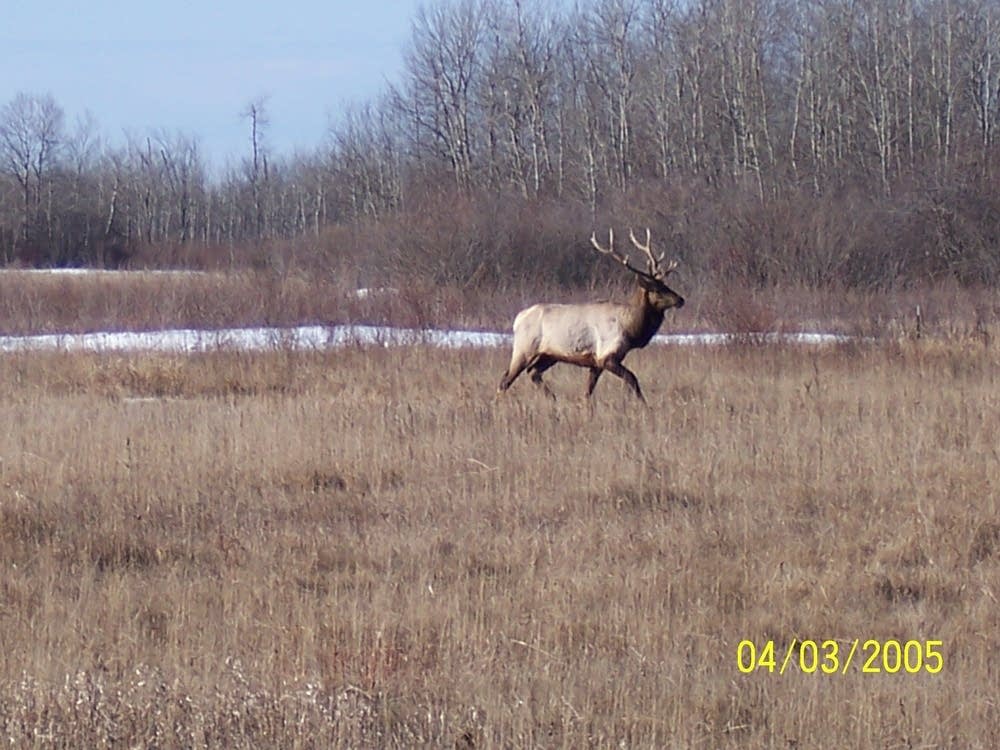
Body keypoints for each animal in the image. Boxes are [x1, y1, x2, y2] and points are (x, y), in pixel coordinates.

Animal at [496, 228, 684, 402]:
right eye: (657, 289)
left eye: (666, 285)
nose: (680, 299)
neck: (630, 329)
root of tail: (518, 319)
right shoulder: (606, 356)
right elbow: (632, 379)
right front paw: (644, 405)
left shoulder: (596, 363)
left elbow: (588, 392)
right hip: (523, 349)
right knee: (505, 379)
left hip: (549, 355)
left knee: (533, 372)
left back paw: (554, 400)